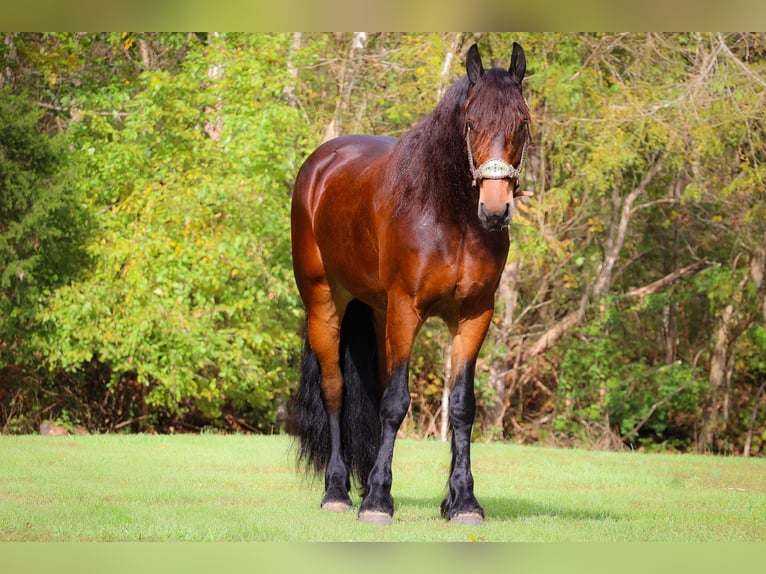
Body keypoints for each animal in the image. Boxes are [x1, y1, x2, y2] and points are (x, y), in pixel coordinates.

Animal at [292, 41, 532, 528]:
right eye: (471, 121)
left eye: (523, 122)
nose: (495, 209)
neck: (447, 214)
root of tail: (319, 165)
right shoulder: (407, 309)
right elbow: (395, 403)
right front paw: (378, 502)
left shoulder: (474, 315)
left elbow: (460, 406)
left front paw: (463, 501)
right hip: (325, 303)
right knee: (335, 391)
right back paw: (338, 491)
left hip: (376, 312)